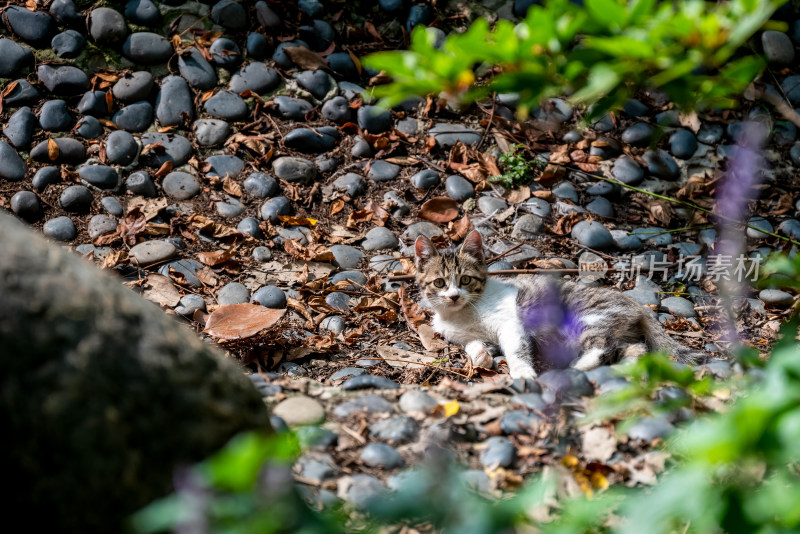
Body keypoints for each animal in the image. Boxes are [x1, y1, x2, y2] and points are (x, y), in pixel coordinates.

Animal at [412, 231, 700, 382]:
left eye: (465, 280)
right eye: (440, 282)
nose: (453, 296)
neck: (462, 314)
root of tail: (638, 305)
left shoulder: (511, 324)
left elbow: (516, 349)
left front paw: (522, 371)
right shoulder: (464, 334)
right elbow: (472, 343)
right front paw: (480, 355)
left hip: (587, 318)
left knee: (601, 345)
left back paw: (577, 368)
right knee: (636, 349)